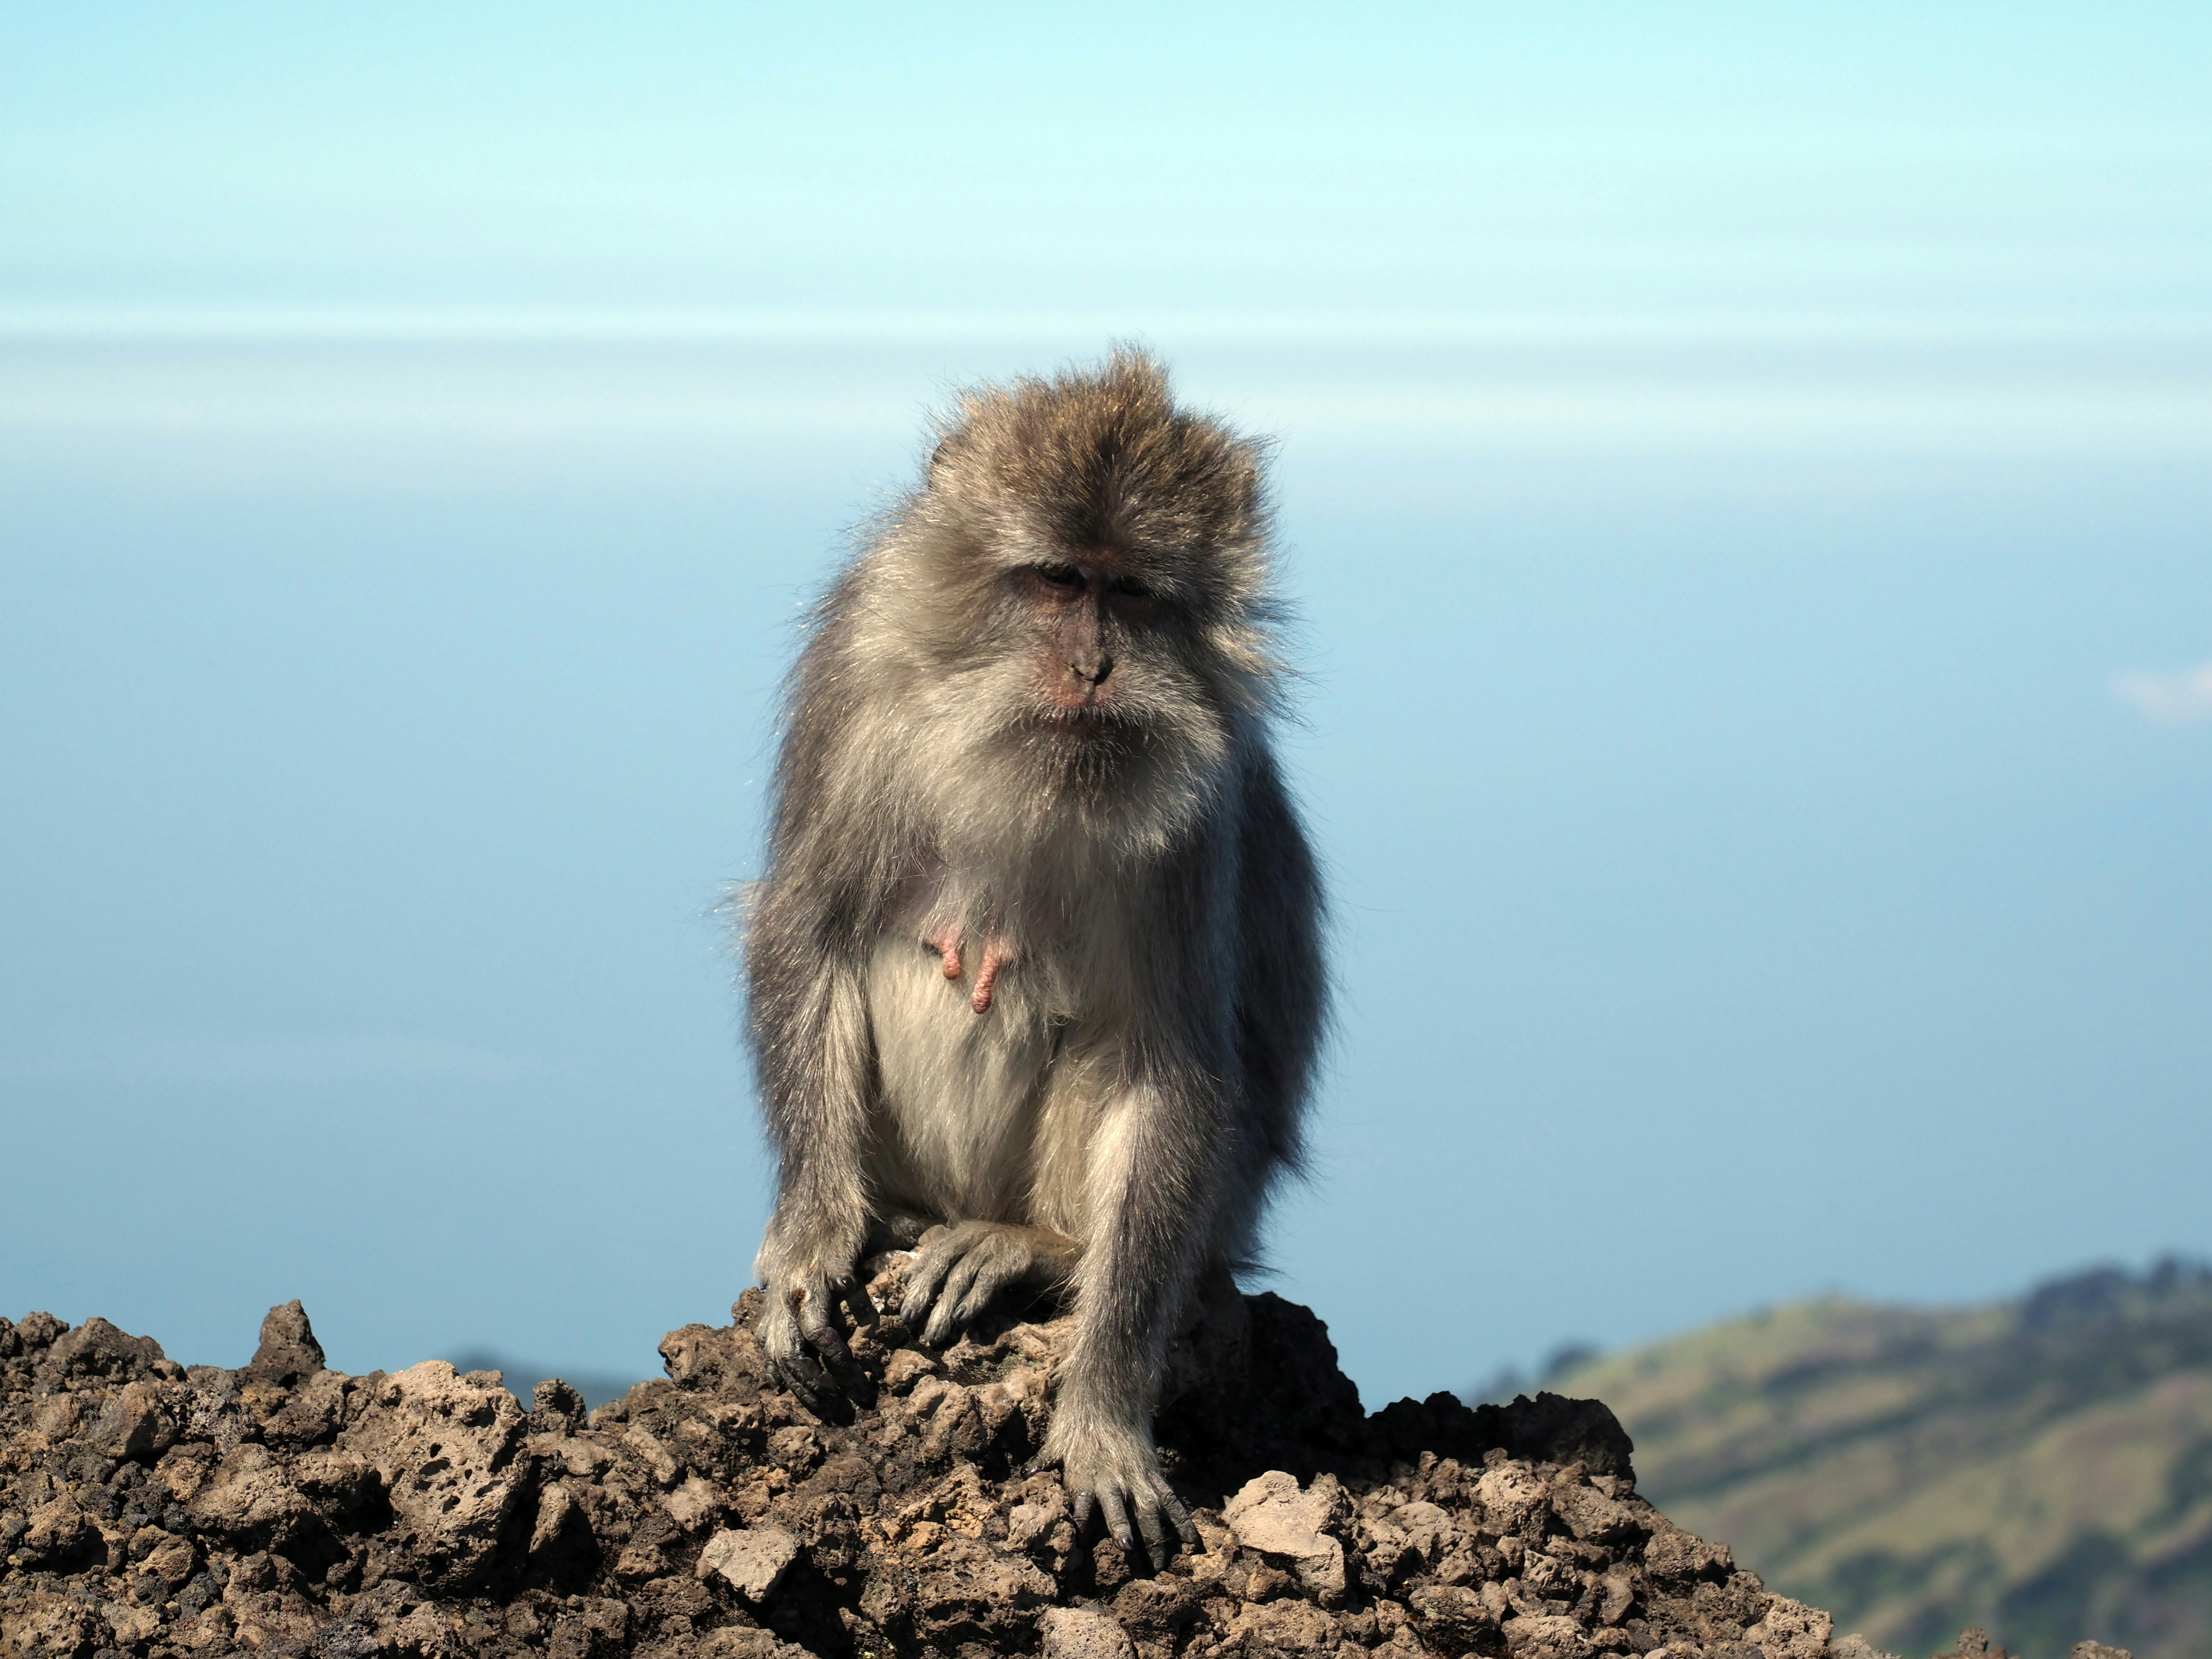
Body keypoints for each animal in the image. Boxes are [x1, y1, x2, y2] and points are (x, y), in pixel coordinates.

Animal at [743, 348, 1326, 1561]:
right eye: (1059, 580)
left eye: (1134, 593)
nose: (1097, 668)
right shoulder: (857, 678)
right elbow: (810, 928)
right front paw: (813, 1237)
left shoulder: (1199, 794)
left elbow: (1172, 1066)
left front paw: (1102, 1414)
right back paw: (894, 1220)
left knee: (1109, 1049)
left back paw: (1036, 1245)